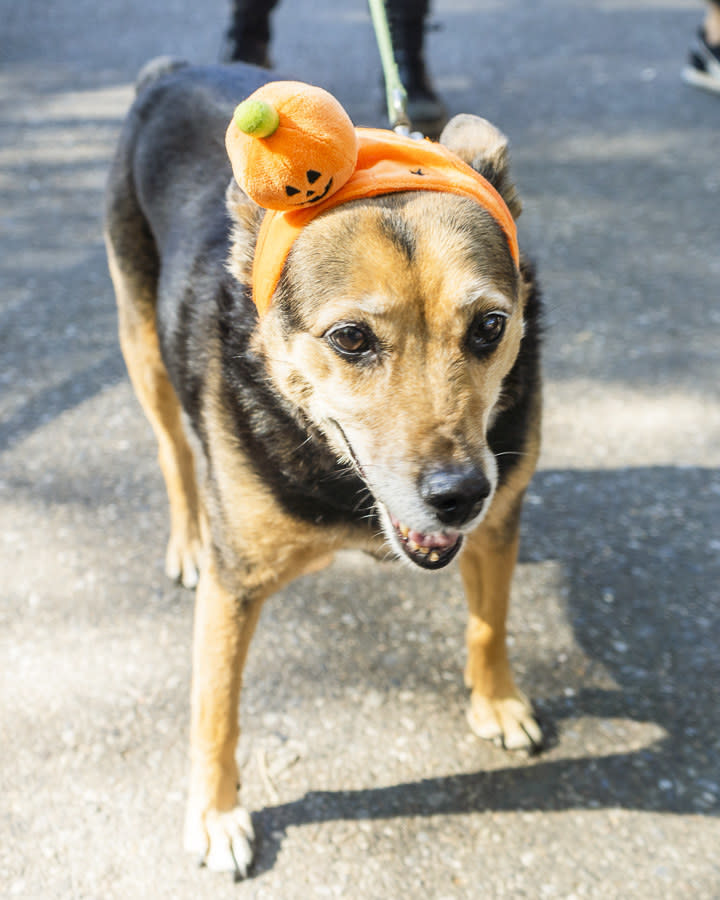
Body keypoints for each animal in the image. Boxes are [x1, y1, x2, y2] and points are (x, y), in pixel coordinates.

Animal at [104, 59, 544, 876]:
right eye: (350, 339)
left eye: (491, 327)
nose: (459, 496)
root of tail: (173, 70)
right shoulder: (236, 584)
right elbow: (215, 707)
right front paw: (216, 813)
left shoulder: (500, 523)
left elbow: (488, 623)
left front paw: (496, 701)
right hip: (141, 343)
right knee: (173, 449)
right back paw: (184, 538)